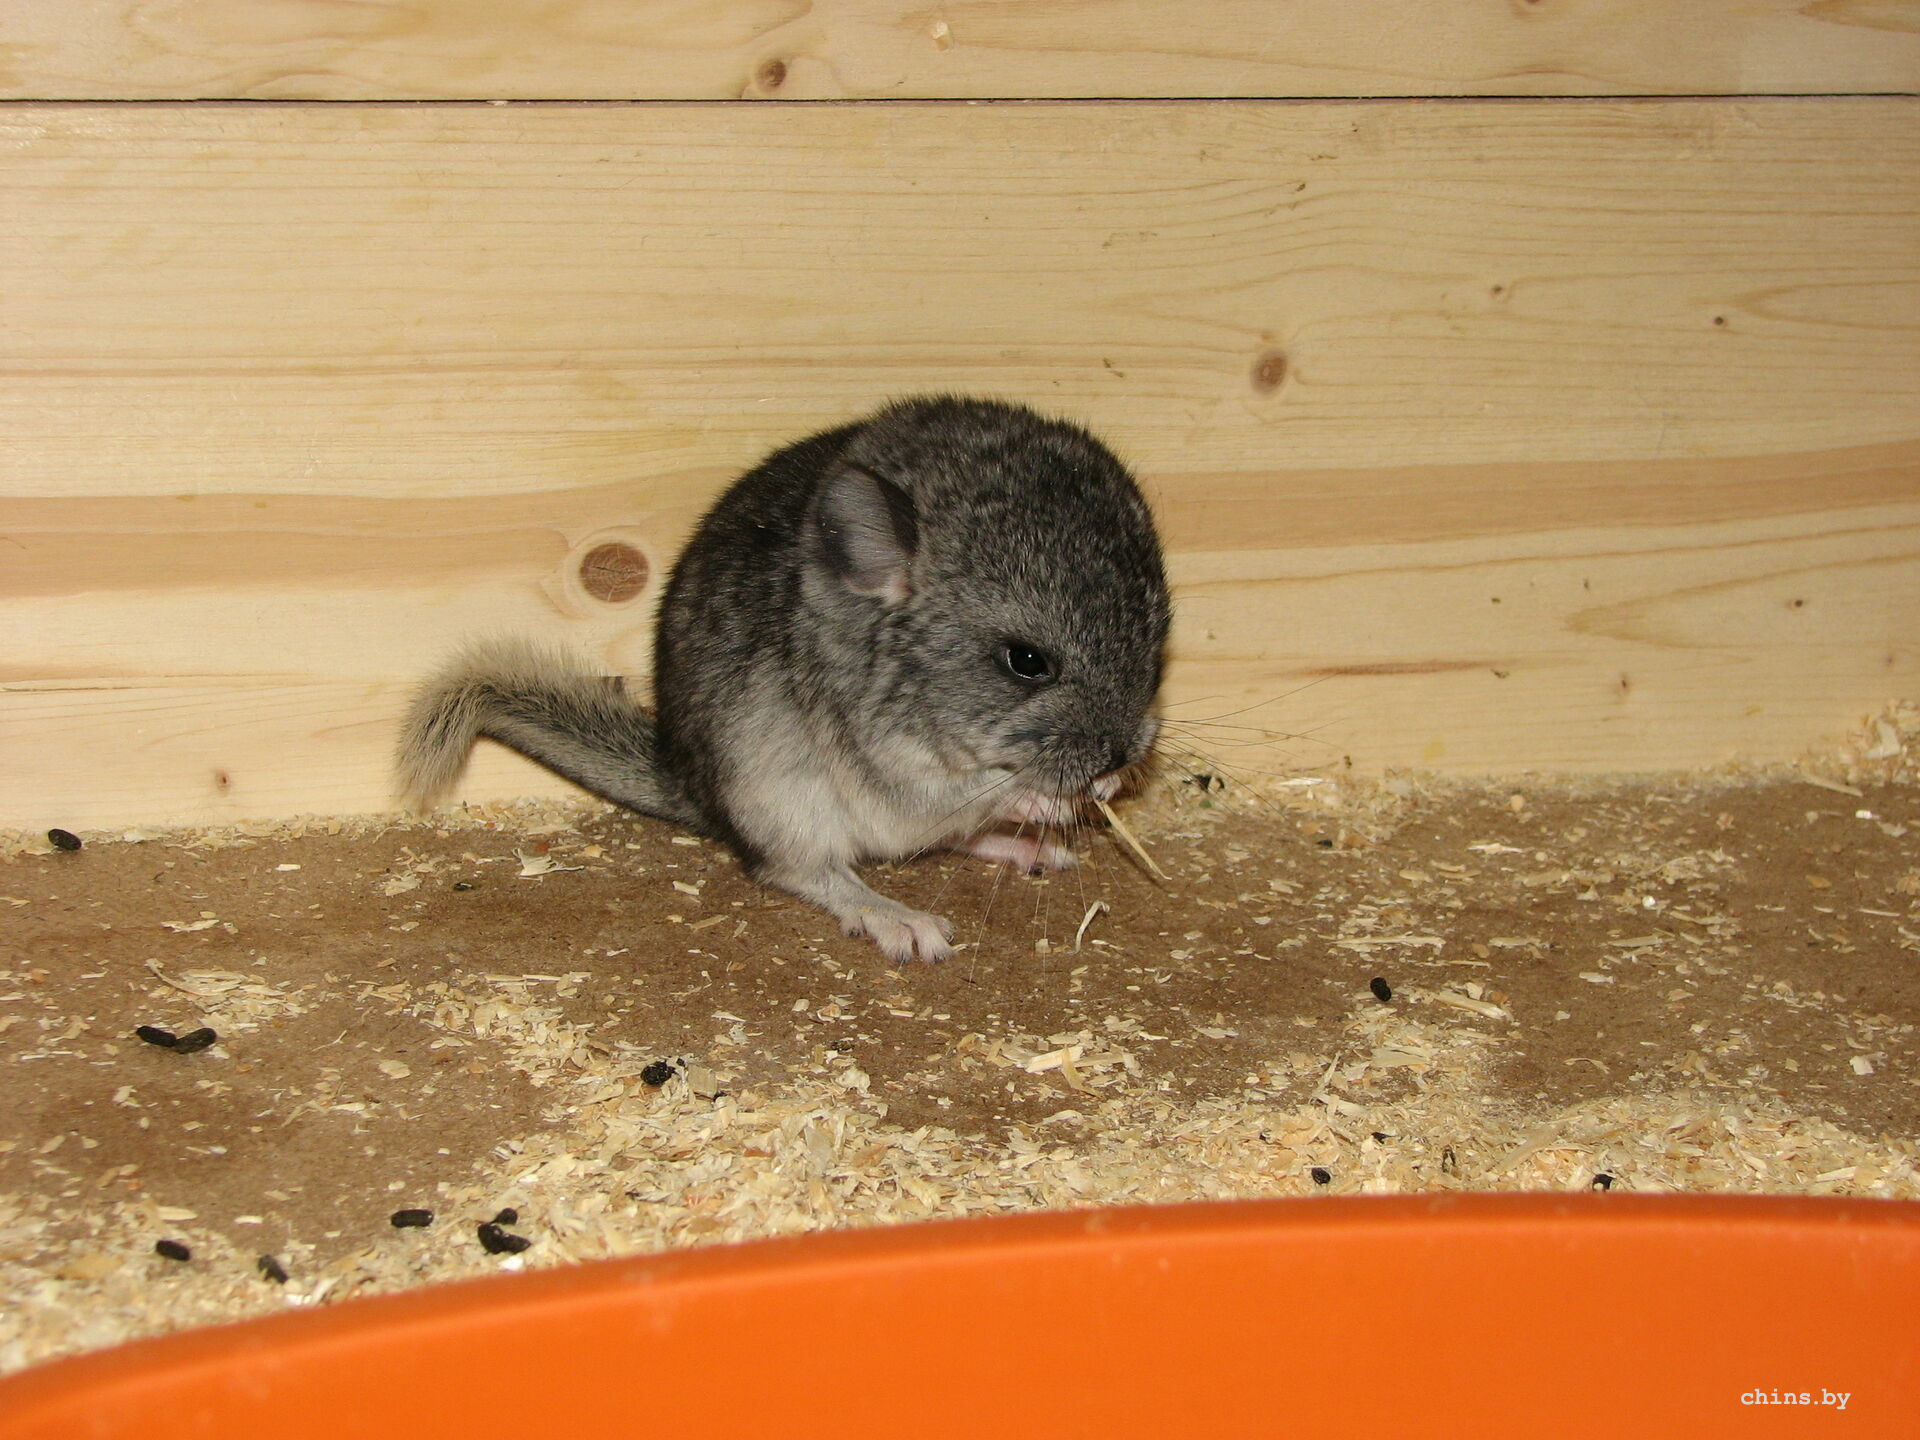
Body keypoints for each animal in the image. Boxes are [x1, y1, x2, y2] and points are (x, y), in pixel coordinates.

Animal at [396, 396, 1170, 963]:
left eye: (1158, 644)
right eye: (1027, 661)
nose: (1120, 757)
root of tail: (690, 787)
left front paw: (1097, 792)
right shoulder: (902, 772)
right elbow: (977, 791)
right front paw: (1062, 798)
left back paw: (1027, 852)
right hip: (776, 797)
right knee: (803, 869)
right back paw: (899, 918)